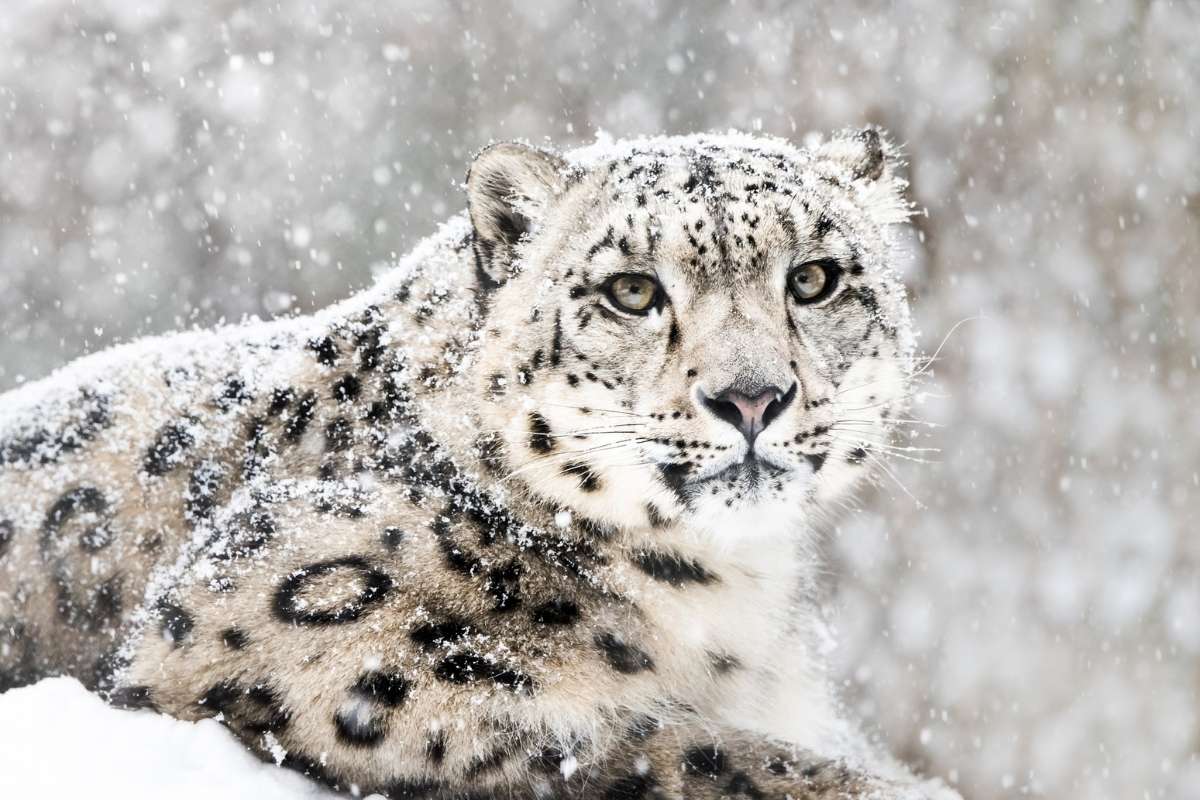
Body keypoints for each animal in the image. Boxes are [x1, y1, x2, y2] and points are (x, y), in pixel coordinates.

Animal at [0, 129, 957, 800]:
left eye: (815, 279)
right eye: (633, 290)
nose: (752, 397)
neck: (725, 596)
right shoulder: (300, 652)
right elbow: (667, 748)